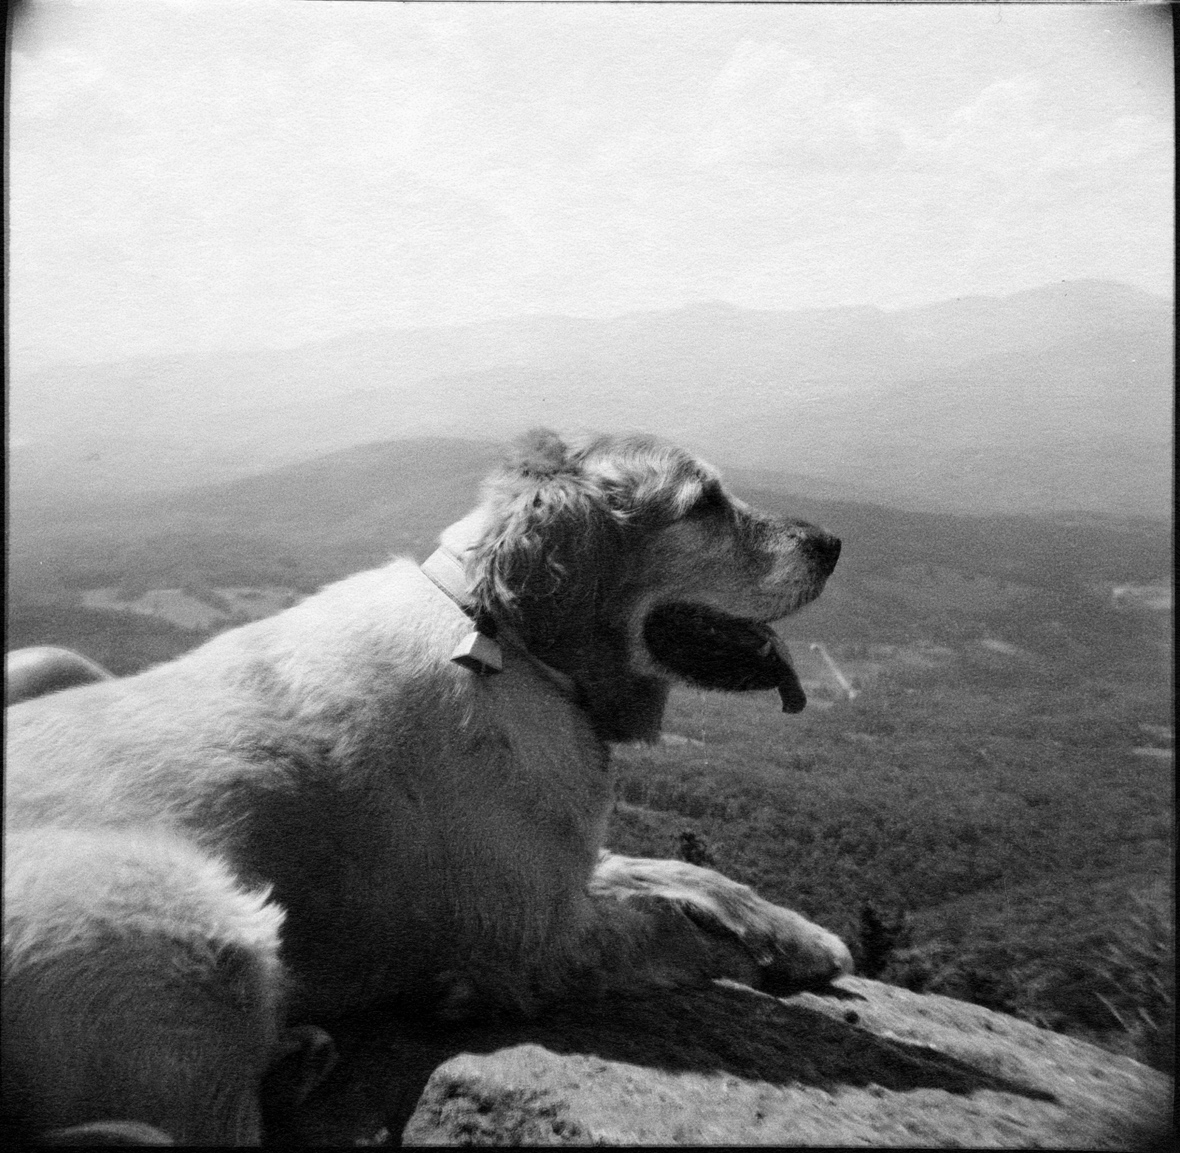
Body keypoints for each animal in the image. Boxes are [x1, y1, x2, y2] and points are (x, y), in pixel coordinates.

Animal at [4, 429, 852, 1144]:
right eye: (703, 502)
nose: (832, 542)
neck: (507, 640)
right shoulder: (540, 930)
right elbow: (671, 926)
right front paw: (752, 961)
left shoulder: (562, 865)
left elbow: (688, 873)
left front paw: (799, 934)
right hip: (199, 925)